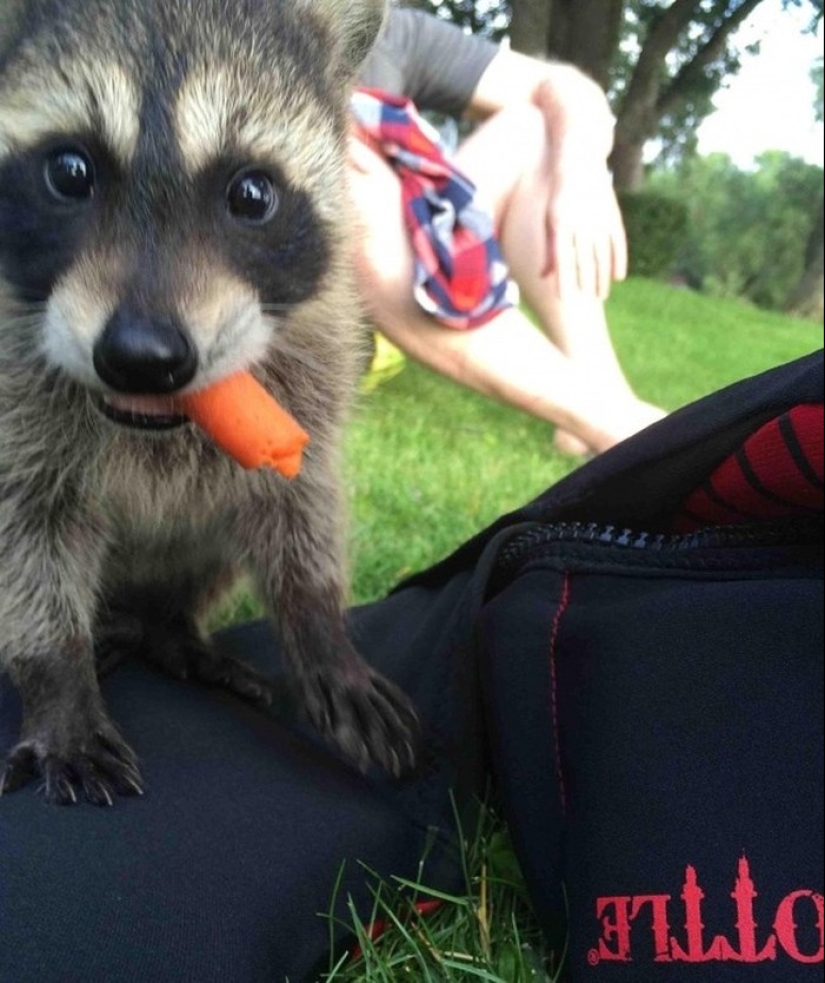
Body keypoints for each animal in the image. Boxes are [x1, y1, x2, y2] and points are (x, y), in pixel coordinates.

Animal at [0, 0, 418, 806]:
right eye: (69, 171)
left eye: (252, 194)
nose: (141, 356)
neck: (154, 421)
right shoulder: (14, 417)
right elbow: (25, 538)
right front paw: (56, 678)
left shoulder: (315, 370)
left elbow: (300, 503)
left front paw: (320, 625)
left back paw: (172, 628)